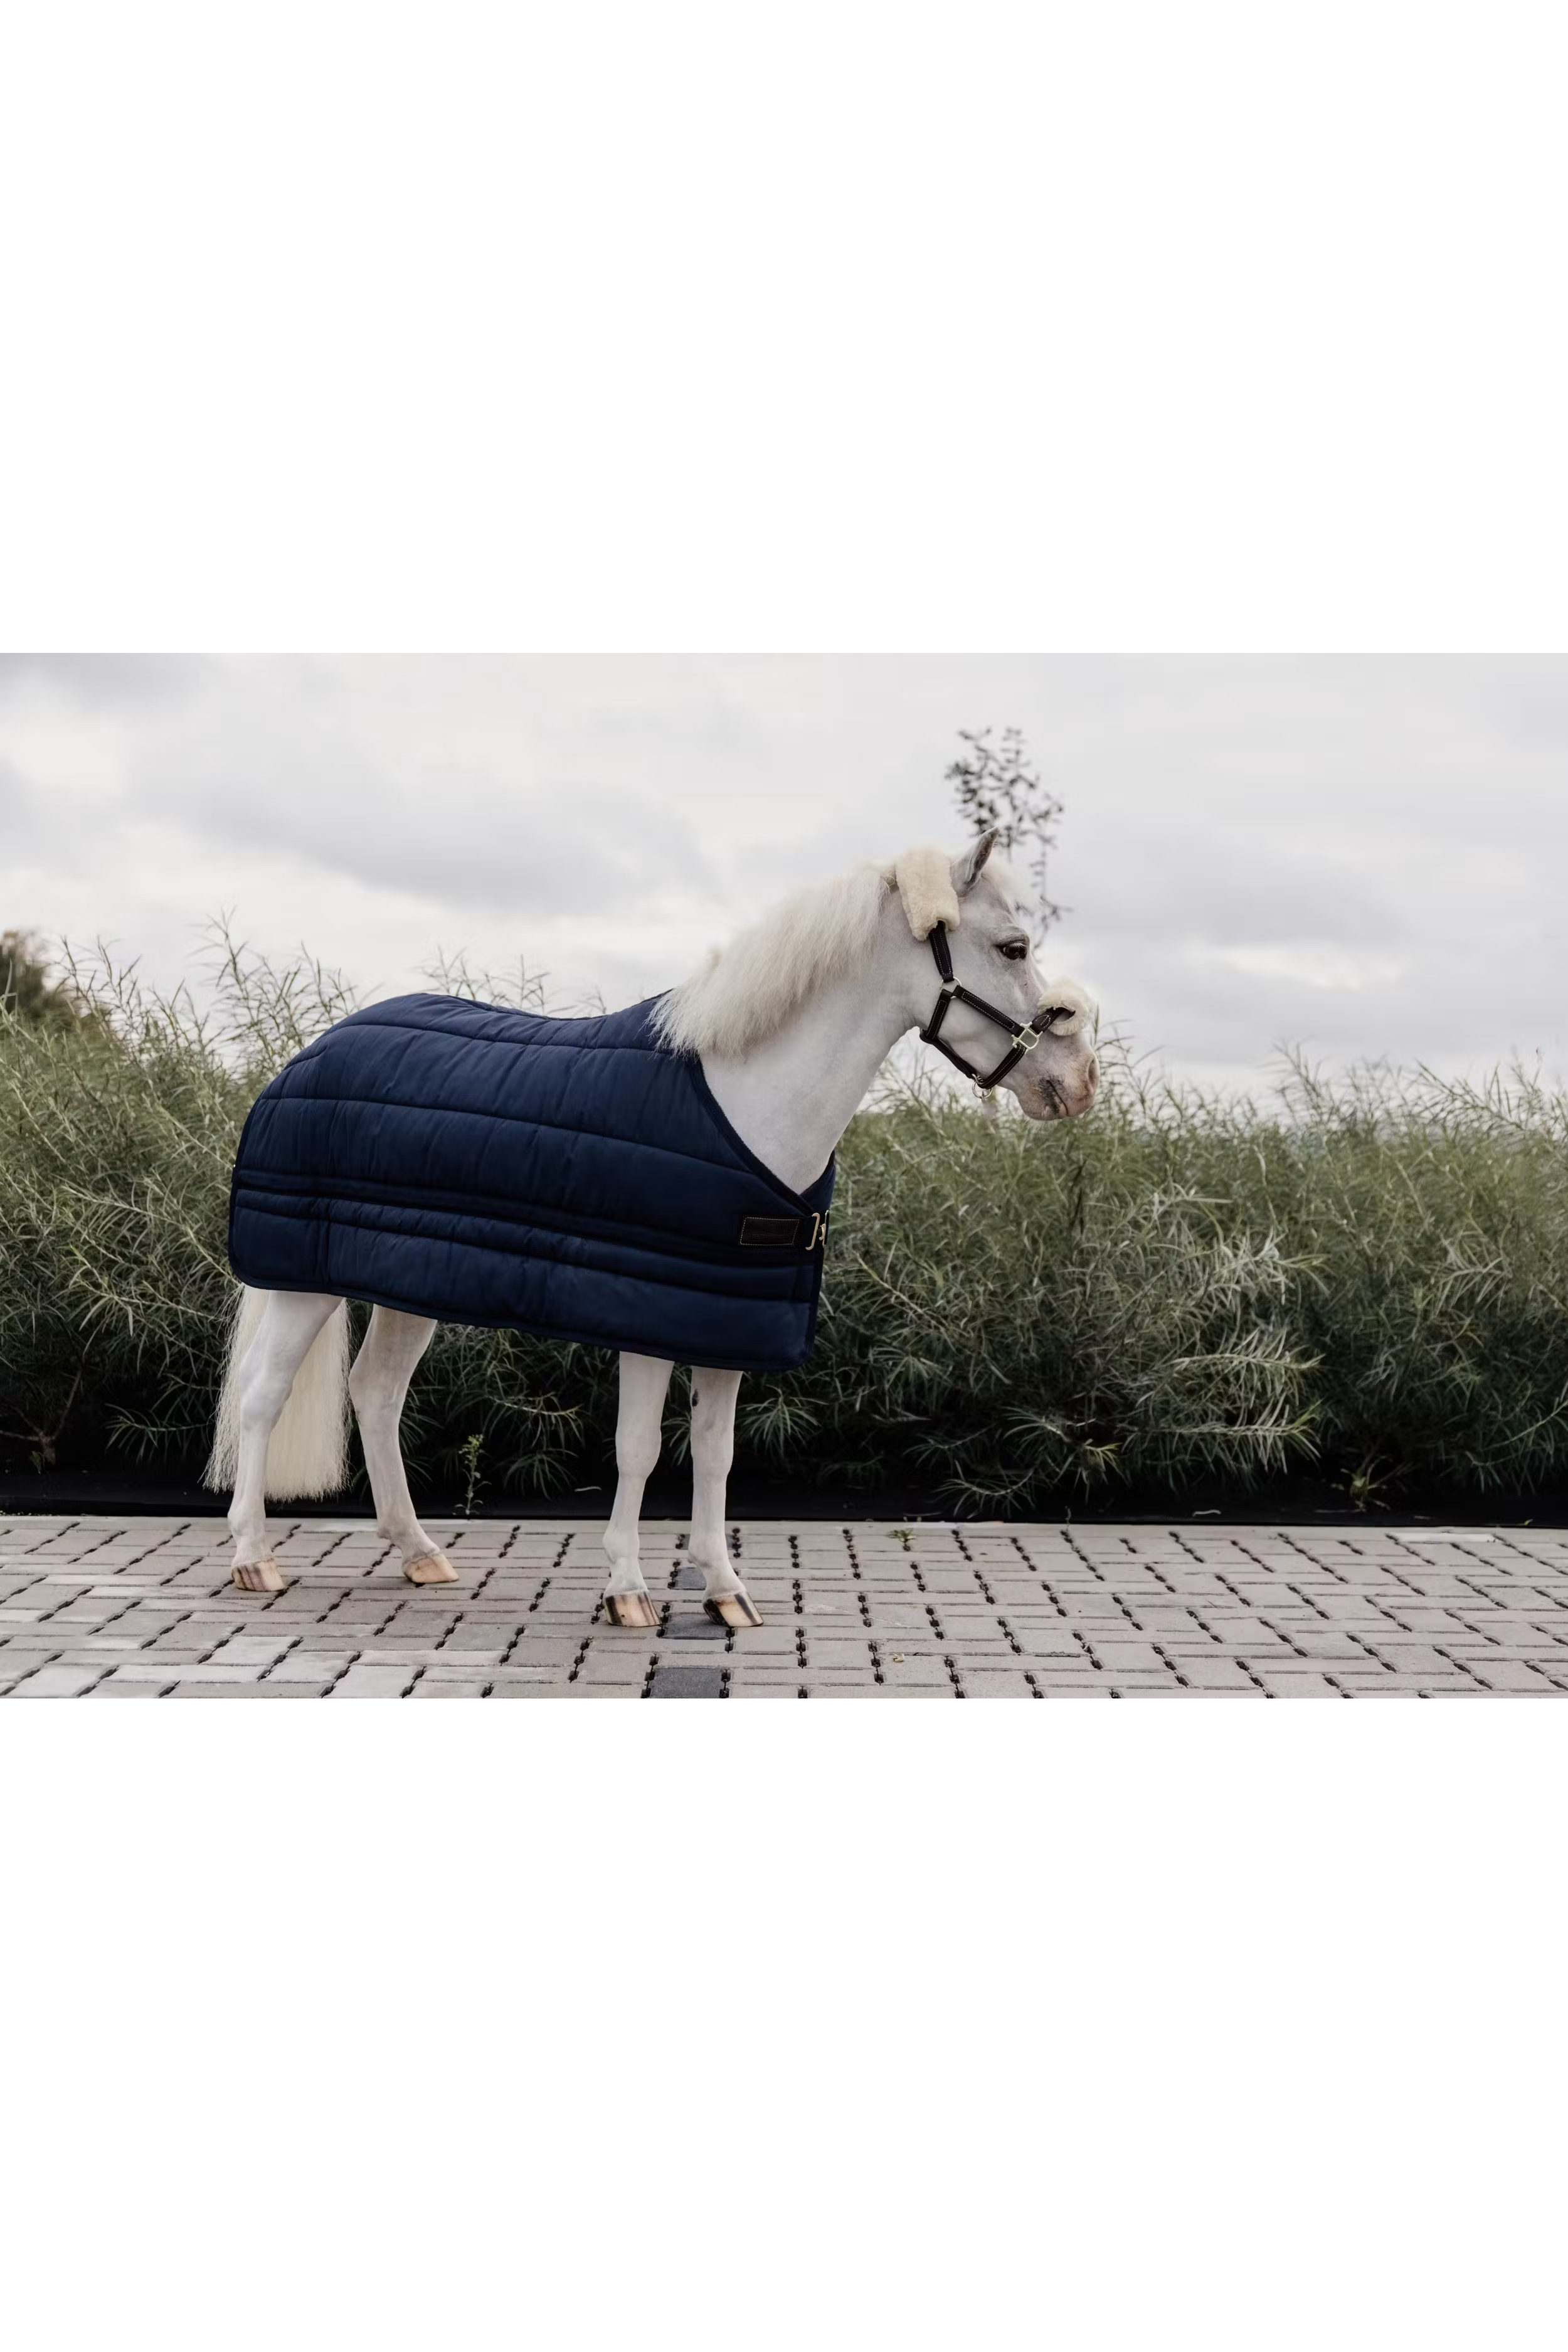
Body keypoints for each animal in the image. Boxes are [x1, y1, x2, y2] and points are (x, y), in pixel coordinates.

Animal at [206, 829, 1101, 1626]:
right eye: (1013, 947)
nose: (1077, 1083)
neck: (742, 1101)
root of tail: (308, 1055)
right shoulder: (646, 1318)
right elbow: (638, 1449)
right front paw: (628, 1590)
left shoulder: (727, 1320)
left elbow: (714, 1451)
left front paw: (725, 1590)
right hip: (301, 1283)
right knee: (262, 1394)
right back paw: (253, 1558)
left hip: (406, 1287)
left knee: (377, 1394)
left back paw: (419, 1552)